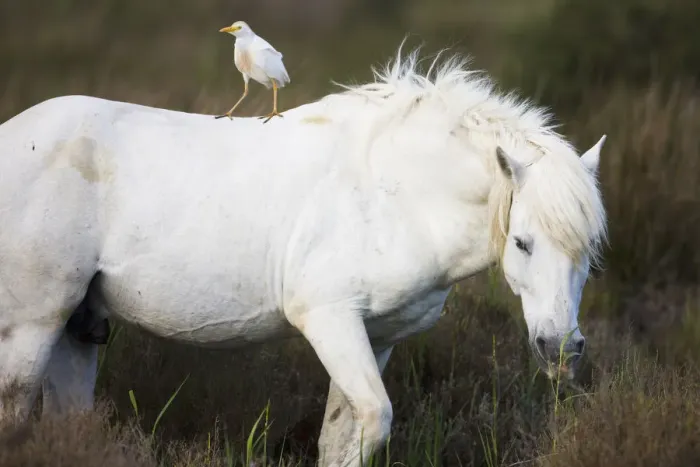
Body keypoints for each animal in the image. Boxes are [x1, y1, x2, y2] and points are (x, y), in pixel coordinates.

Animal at [0, 47, 607, 466]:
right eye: (523, 242)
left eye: (589, 254)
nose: (561, 349)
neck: (394, 193)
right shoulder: (329, 319)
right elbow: (372, 417)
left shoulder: (376, 337)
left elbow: (342, 434)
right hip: (34, 323)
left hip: (77, 327)